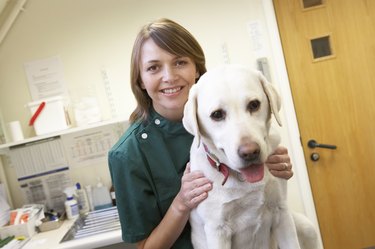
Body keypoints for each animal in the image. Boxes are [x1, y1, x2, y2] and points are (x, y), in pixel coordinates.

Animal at [182, 65, 320, 249]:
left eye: (254, 104)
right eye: (217, 114)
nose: (250, 152)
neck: (243, 179)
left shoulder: (281, 212)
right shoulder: (217, 230)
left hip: (306, 226)